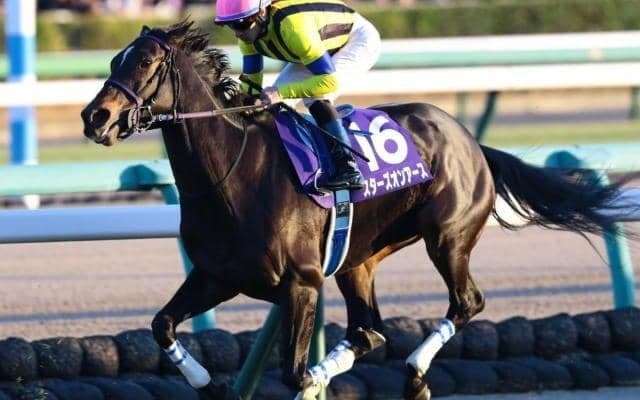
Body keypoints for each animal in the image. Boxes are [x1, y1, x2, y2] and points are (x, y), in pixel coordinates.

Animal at [80, 21, 629, 400]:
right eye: (112, 61)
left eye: (144, 63)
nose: (94, 117)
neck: (233, 174)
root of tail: (470, 140)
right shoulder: (217, 276)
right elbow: (162, 325)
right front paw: (207, 382)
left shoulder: (301, 284)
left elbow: (292, 372)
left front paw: (308, 380)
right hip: (358, 260)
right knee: (367, 330)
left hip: (447, 237)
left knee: (465, 303)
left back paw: (414, 376)